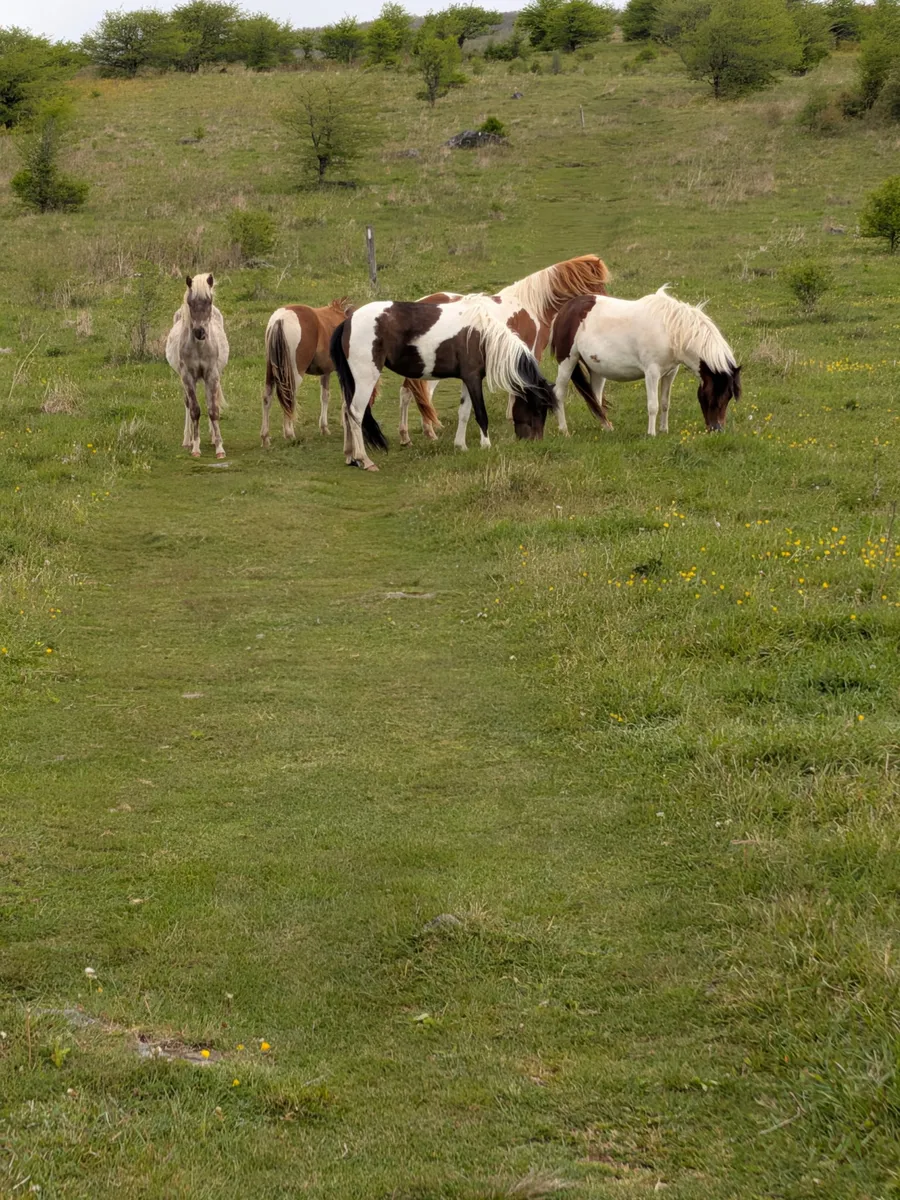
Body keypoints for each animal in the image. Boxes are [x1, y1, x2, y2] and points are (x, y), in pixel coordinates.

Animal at [165, 273, 230, 458]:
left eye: (208, 301)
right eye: (191, 303)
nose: (200, 332)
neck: (200, 347)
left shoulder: (212, 375)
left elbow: (213, 409)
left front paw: (219, 448)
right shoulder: (187, 377)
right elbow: (194, 409)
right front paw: (195, 447)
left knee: (211, 401)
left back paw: (214, 437)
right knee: (187, 404)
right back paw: (187, 440)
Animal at [329, 296, 558, 471]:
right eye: (539, 408)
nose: (535, 441)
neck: (482, 335)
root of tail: (348, 321)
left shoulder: (468, 379)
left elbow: (464, 413)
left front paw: (461, 446)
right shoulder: (474, 378)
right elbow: (481, 414)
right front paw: (486, 445)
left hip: (353, 381)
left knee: (346, 411)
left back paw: (350, 457)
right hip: (366, 378)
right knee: (356, 413)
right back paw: (364, 460)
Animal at [397, 254, 609, 447]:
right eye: (599, 285)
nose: (606, 300)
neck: (532, 305)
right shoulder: (529, 354)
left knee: (406, 392)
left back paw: (406, 437)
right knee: (424, 395)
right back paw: (429, 432)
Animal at [551, 287, 742, 436]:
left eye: (728, 397)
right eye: (713, 394)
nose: (717, 429)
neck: (671, 331)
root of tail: (564, 310)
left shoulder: (671, 372)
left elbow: (665, 403)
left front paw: (664, 430)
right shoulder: (652, 372)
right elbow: (653, 405)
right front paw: (651, 434)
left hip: (597, 368)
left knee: (595, 397)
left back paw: (606, 427)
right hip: (567, 361)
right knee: (559, 393)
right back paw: (564, 431)